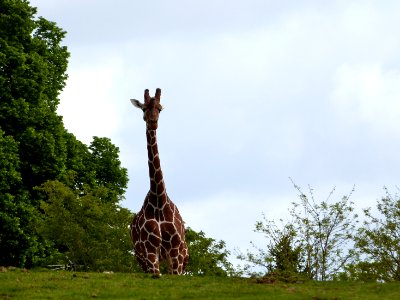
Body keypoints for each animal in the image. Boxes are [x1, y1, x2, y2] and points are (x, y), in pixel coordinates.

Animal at [130, 88, 189, 276]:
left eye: (160, 108)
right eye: (143, 108)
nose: (153, 122)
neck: (159, 201)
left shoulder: (175, 250)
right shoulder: (149, 251)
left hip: (184, 255)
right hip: (140, 257)